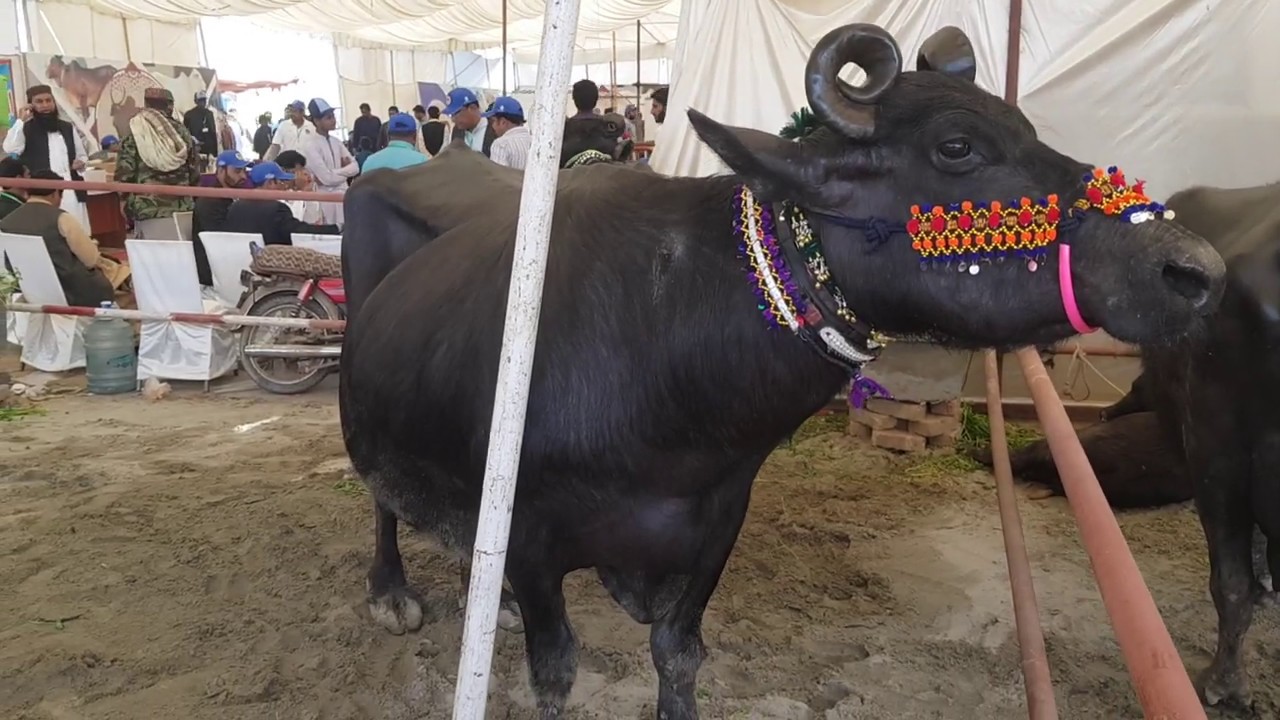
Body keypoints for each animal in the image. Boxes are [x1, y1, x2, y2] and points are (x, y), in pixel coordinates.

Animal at [339, 23, 1225, 719]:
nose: (1195, 269)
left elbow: (678, 655)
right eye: (957, 147)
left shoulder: (713, 530)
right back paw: (390, 591)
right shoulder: (528, 536)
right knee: (378, 496)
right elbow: (555, 673)